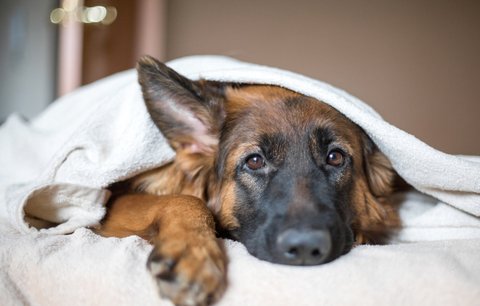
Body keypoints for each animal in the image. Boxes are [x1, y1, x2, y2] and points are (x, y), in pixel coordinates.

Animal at [95, 56, 400, 304]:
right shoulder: (112, 205)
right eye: (254, 161)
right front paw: (193, 253)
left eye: (335, 157)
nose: (305, 247)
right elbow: (186, 200)